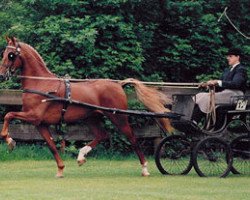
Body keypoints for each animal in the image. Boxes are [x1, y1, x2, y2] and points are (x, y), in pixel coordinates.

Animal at [0, 37, 173, 177]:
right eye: (4, 53)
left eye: (11, 55)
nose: (2, 74)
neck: (41, 84)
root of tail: (118, 84)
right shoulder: (40, 124)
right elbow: (51, 146)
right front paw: (60, 169)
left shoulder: (33, 116)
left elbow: (8, 115)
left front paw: (9, 140)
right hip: (92, 117)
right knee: (102, 135)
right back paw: (81, 156)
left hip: (118, 117)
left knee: (132, 138)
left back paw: (144, 169)